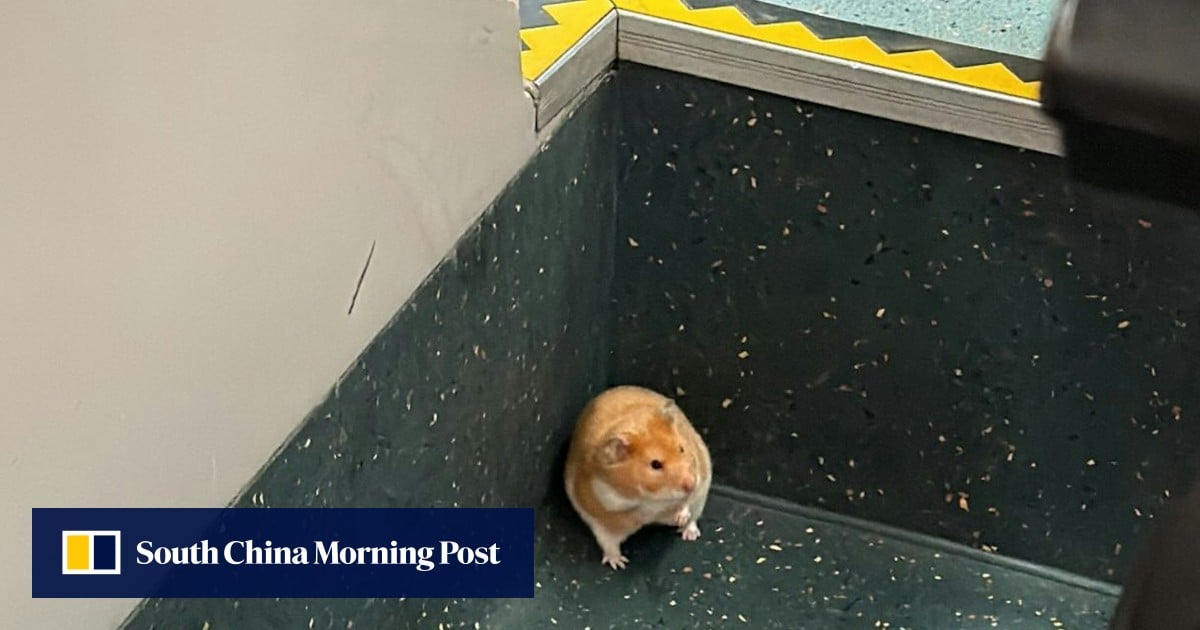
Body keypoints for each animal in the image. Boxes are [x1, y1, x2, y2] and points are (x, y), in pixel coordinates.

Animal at [563, 385, 713, 569]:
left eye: (682, 449)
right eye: (655, 464)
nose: (691, 484)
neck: (651, 497)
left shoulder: (698, 478)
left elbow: (685, 503)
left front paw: (679, 516)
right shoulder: (599, 508)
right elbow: (614, 531)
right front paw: (619, 563)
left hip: (701, 497)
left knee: (694, 517)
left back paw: (688, 533)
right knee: (609, 544)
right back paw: (618, 563)